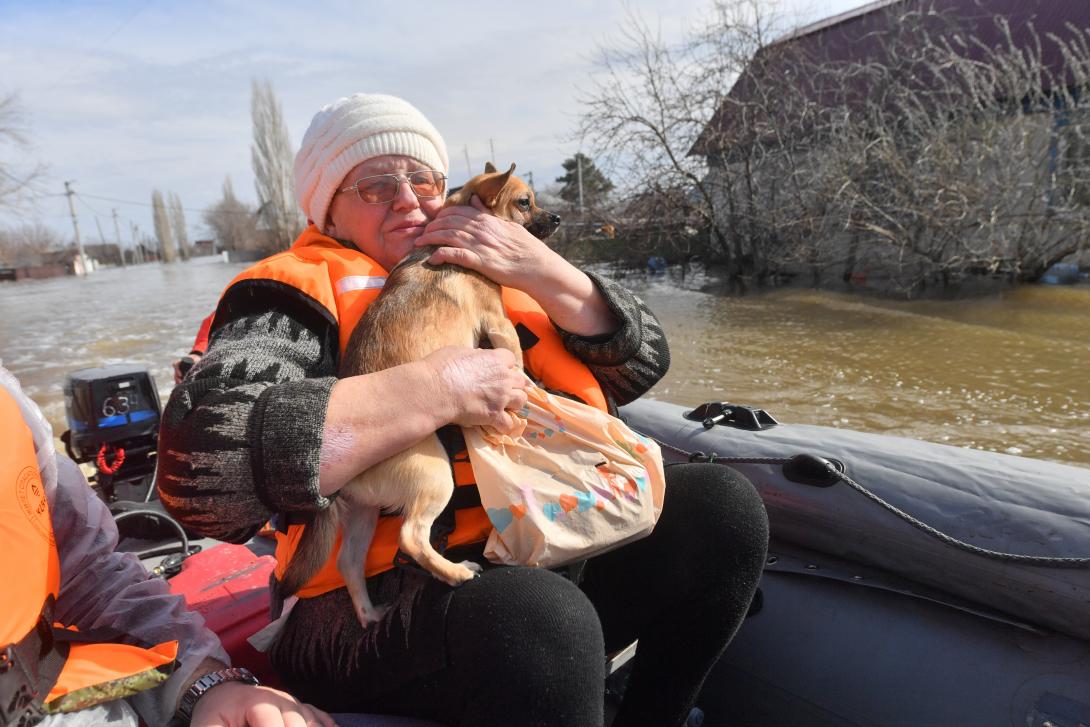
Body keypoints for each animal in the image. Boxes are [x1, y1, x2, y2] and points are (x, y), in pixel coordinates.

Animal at [279, 163, 562, 627]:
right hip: (433, 475)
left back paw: (369, 613)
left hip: (364, 513)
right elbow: (516, 365)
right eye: (526, 202)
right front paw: (525, 400)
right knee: (411, 538)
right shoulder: (499, 324)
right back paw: (456, 572)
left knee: (349, 563)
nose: (557, 218)